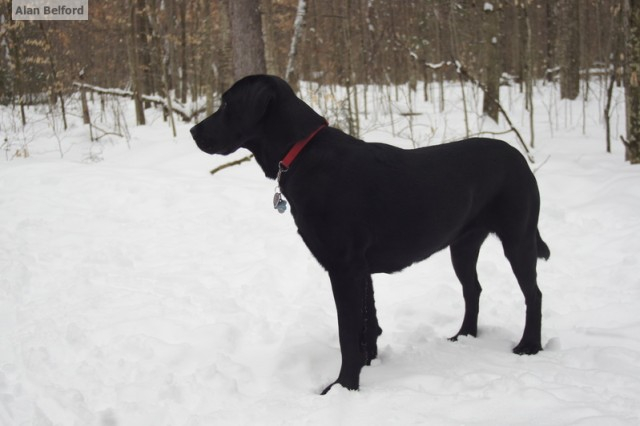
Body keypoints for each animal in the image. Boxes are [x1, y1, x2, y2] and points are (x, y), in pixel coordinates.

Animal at [190, 74, 552, 392]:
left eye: (227, 103)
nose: (193, 131)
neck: (302, 152)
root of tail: (520, 158)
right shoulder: (360, 269)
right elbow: (368, 324)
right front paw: (366, 367)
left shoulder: (344, 267)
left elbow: (348, 333)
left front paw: (344, 386)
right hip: (462, 244)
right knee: (473, 289)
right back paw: (464, 336)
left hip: (518, 238)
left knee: (533, 294)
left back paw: (529, 345)